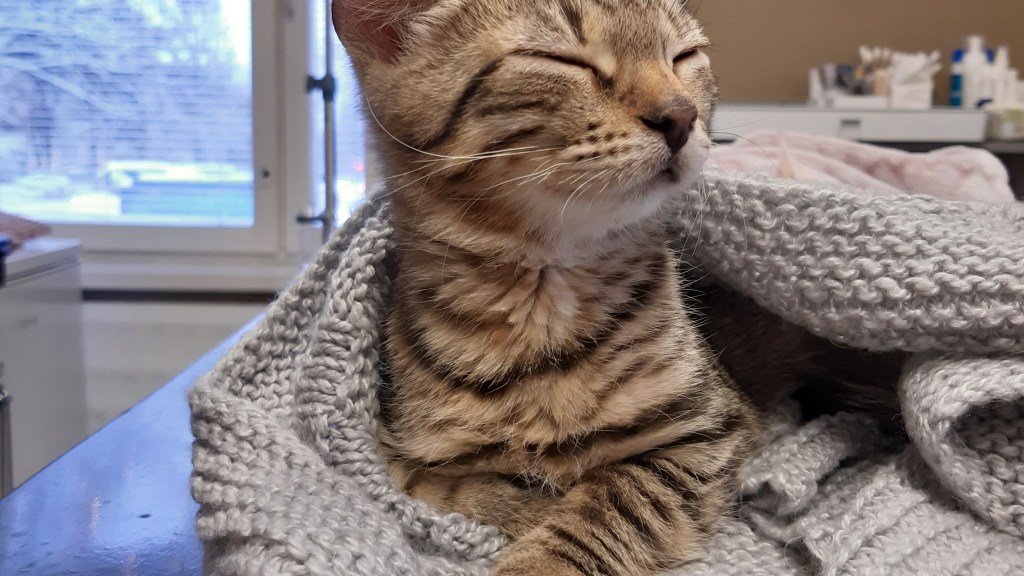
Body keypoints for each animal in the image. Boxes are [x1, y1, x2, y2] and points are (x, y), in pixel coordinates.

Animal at [332, 1, 901, 575]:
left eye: (684, 57)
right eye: (559, 58)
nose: (681, 115)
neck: (543, 297)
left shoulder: (709, 430)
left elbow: (618, 499)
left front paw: (541, 556)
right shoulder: (399, 453)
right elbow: (447, 487)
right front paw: (525, 500)